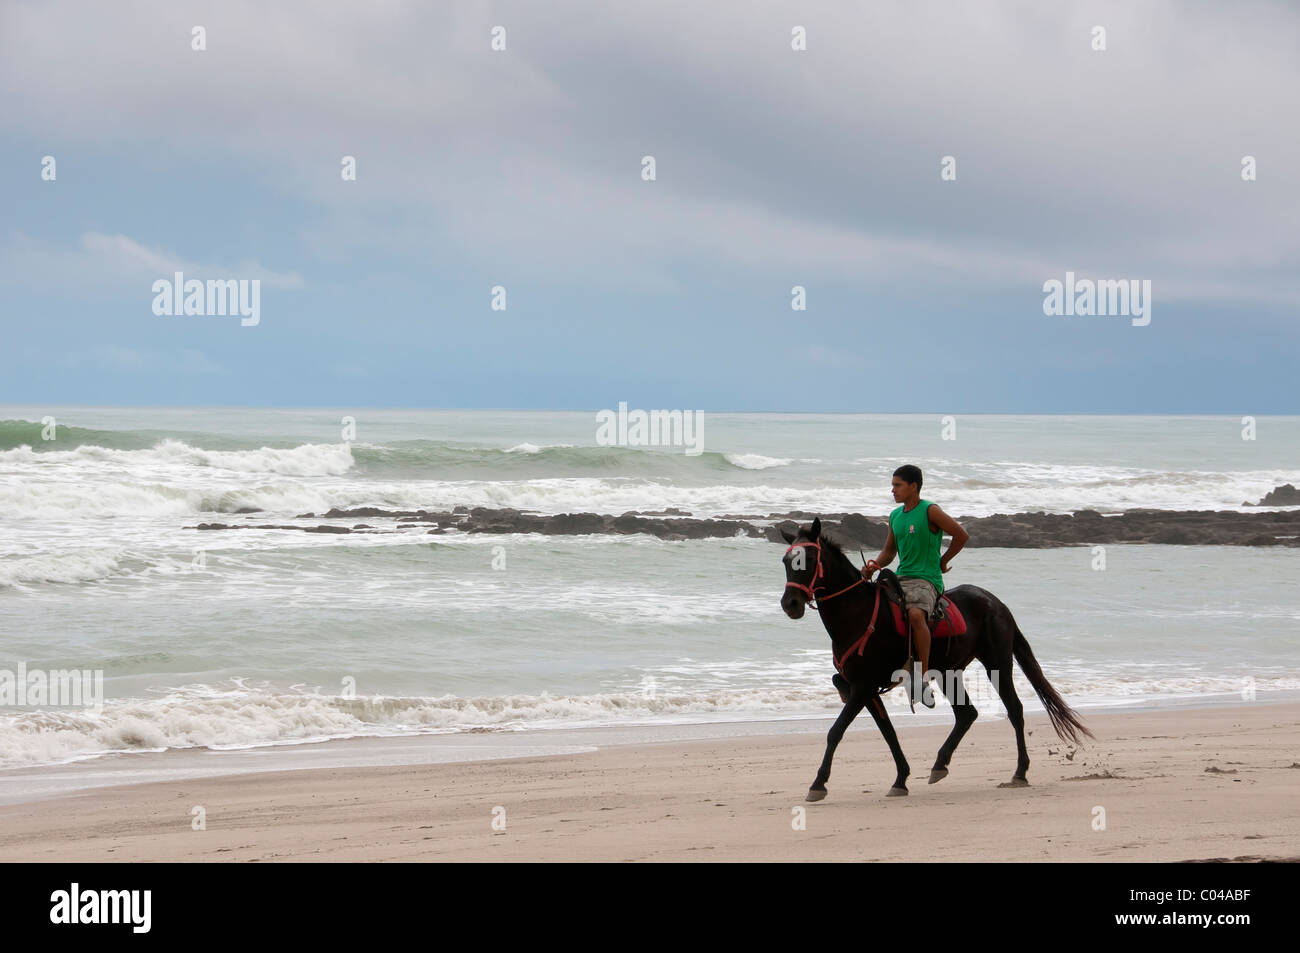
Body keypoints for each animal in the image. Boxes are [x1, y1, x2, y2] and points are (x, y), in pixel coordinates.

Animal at [780, 517, 1086, 800]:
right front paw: (901, 778)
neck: (857, 613)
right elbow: (887, 731)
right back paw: (941, 763)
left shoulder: (863, 686)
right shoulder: (866, 689)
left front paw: (818, 783)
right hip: (948, 671)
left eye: (808, 560)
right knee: (967, 714)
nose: (790, 603)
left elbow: (836, 731)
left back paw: (1020, 771)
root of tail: (996, 603)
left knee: (1014, 710)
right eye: (785, 561)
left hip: (996, 663)